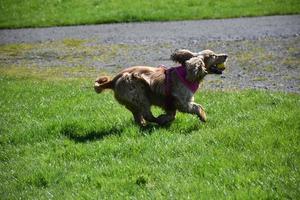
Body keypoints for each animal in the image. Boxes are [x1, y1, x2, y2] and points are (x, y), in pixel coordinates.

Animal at [94, 49, 227, 126]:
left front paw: (166, 118)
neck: (187, 73)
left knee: (138, 115)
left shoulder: (170, 103)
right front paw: (203, 117)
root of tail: (113, 80)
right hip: (139, 95)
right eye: (213, 56)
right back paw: (156, 121)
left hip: (134, 102)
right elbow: (197, 107)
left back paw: (144, 124)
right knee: (147, 115)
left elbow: (172, 114)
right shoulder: (183, 101)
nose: (226, 55)